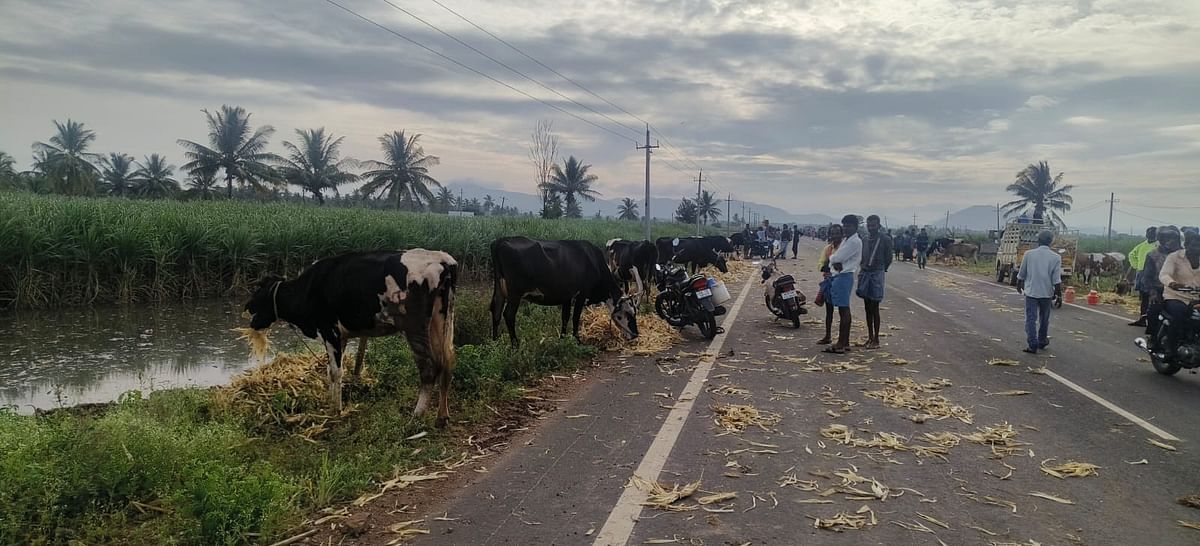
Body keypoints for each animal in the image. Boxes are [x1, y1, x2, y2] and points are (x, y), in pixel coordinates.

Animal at [241, 250, 456, 427]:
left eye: (258, 290)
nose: (247, 306)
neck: (308, 289)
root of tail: (442, 259)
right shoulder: (341, 336)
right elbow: (330, 371)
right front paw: (330, 403)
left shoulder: (329, 330)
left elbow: (337, 372)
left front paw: (337, 411)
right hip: (440, 320)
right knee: (446, 362)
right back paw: (442, 417)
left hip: (414, 326)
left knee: (429, 368)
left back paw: (416, 416)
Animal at [487, 237, 638, 348]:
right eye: (628, 313)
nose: (636, 334)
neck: (594, 263)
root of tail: (500, 241)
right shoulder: (581, 295)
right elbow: (575, 317)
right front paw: (577, 340)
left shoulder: (567, 297)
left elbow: (565, 318)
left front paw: (563, 339)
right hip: (515, 294)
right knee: (508, 314)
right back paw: (515, 345)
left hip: (499, 289)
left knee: (496, 310)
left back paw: (495, 342)